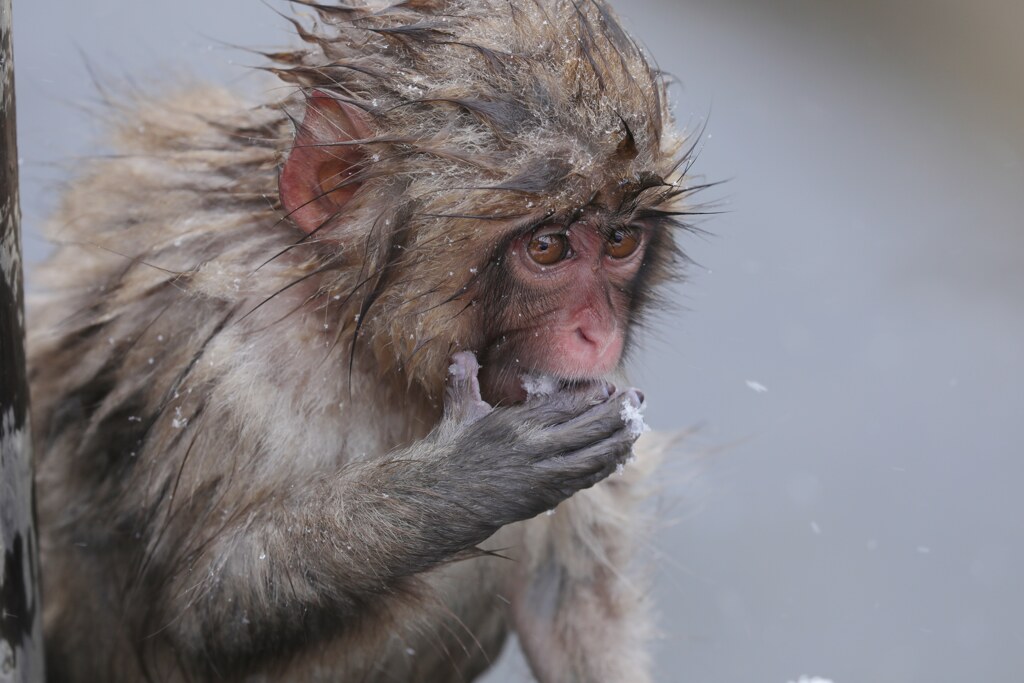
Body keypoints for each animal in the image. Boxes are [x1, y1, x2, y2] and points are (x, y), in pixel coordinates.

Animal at [32, 0, 700, 679]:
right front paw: (469, 478)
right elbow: (204, 610)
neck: (357, 334)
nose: (598, 334)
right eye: (547, 247)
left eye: (619, 241)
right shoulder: (213, 366)